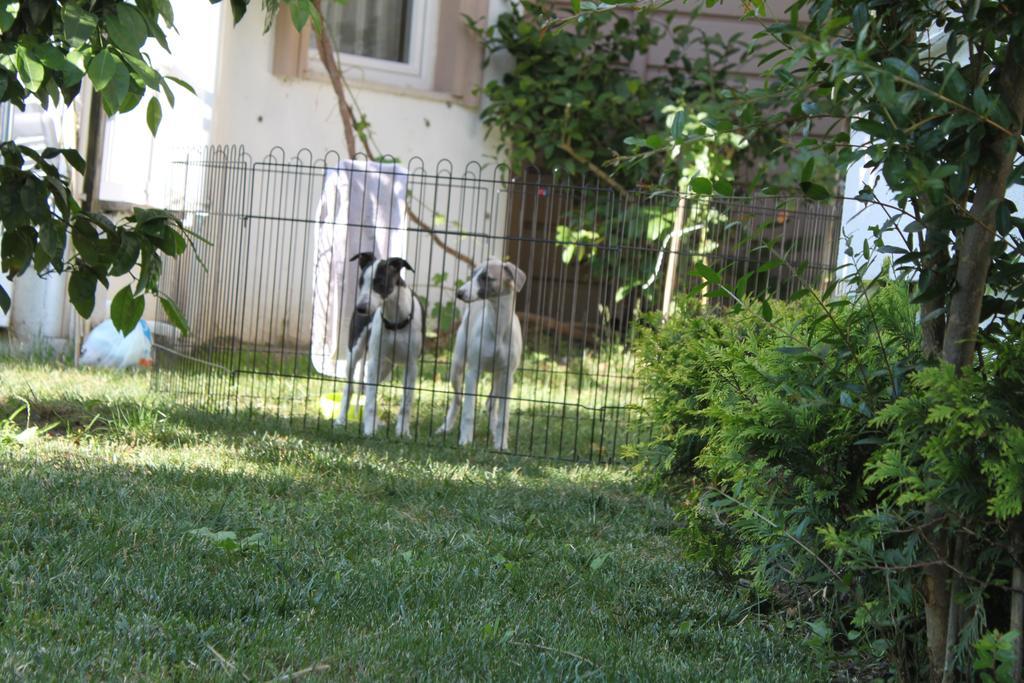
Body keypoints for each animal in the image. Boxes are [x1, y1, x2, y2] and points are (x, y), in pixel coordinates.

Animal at [335, 252, 423, 438]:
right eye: (361, 282)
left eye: (380, 282)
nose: (361, 309)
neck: (395, 319)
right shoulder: (374, 360)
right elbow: (369, 399)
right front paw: (369, 430)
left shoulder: (411, 365)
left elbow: (406, 402)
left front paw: (403, 432)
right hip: (356, 353)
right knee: (350, 389)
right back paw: (341, 420)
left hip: (386, 366)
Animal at [434, 259, 524, 450]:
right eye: (473, 274)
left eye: (486, 278)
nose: (459, 293)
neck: (497, 327)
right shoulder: (473, 372)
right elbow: (468, 411)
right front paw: (465, 440)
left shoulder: (507, 376)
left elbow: (504, 417)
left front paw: (501, 444)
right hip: (457, 366)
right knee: (458, 399)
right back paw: (446, 427)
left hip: (498, 379)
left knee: (490, 403)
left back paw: (494, 432)